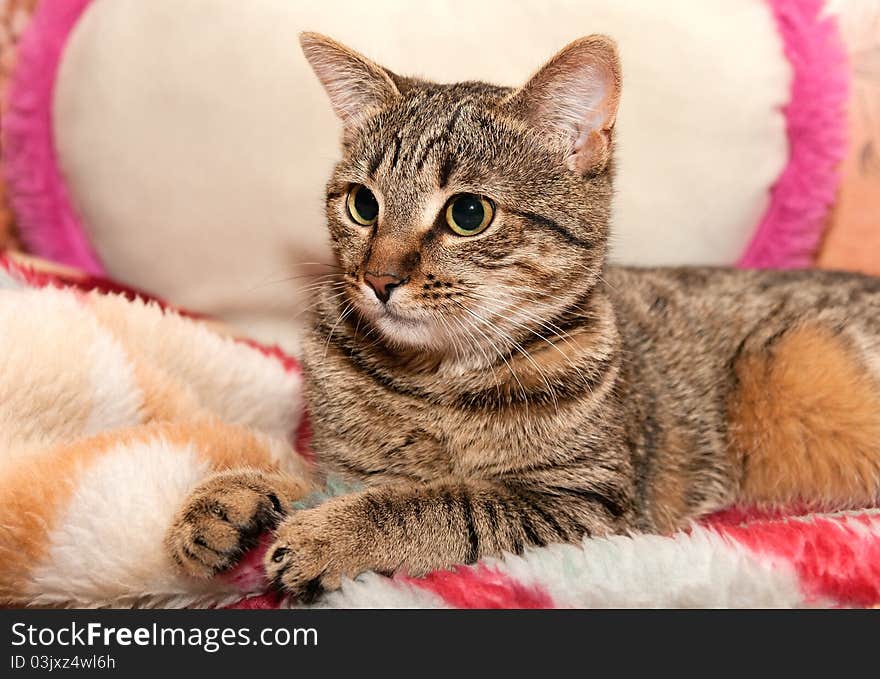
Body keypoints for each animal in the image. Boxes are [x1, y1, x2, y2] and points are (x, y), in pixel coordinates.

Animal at [167, 31, 880, 600]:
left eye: (468, 213)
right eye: (362, 204)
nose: (378, 279)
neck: (434, 380)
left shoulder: (586, 506)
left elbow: (441, 505)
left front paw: (332, 534)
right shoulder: (354, 466)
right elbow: (326, 480)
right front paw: (233, 500)